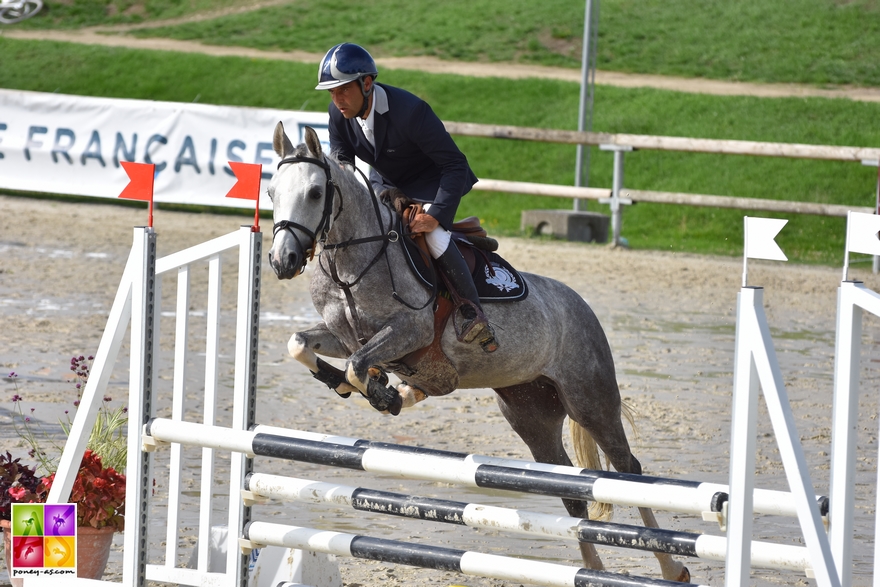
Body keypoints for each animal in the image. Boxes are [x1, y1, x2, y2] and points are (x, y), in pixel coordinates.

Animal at [264, 125, 692, 584]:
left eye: (313, 193)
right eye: (270, 191)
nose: (282, 260)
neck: (353, 260)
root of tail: (580, 305)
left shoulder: (410, 331)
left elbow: (360, 364)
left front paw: (383, 393)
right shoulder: (343, 336)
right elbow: (302, 345)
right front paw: (357, 385)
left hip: (590, 400)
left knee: (628, 469)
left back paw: (672, 567)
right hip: (530, 414)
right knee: (571, 492)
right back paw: (591, 569)